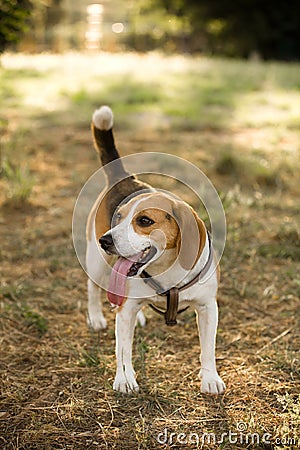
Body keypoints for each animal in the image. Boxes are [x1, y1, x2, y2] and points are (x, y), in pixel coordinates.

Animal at [84, 105, 225, 394]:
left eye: (145, 221)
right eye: (118, 217)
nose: (107, 240)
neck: (166, 269)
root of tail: (123, 176)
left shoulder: (208, 307)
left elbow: (208, 348)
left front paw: (210, 378)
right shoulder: (124, 312)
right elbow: (123, 349)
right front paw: (124, 380)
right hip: (96, 259)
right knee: (93, 288)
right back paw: (96, 317)